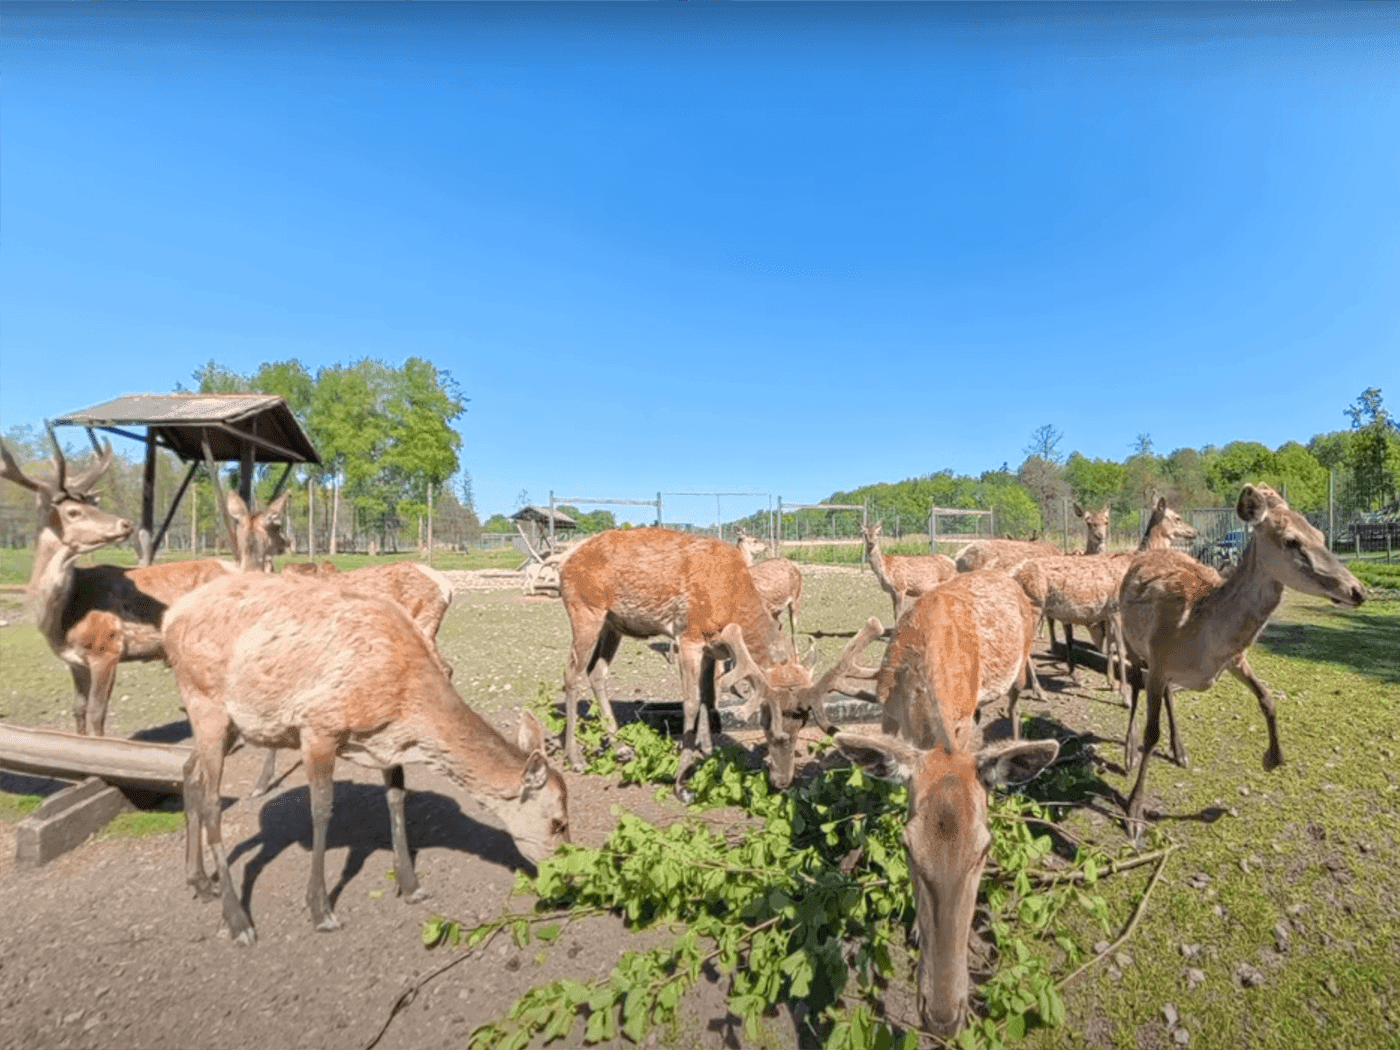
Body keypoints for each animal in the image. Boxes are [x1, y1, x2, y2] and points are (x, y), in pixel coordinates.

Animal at [0, 439, 287, 733]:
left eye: (90, 505)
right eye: (73, 511)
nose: (125, 523)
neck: (62, 620)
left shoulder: (107, 649)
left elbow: (96, 713)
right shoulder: (74, 661)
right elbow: (78, 709)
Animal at [166, 571, 571, 952]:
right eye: (558, 822)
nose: (566, 876)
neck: (405, 701)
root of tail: (170, 619)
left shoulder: (386, 741)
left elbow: (396, 797)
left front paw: (410, 885)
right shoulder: (318, 725)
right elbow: (321, 809)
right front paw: (320, 909)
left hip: (231, 724)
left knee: (189, 773)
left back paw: (200, 882)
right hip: (205, 702)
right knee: (213, 802)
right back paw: (238, 921)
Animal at [828, 568, 1058, 1036]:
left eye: (985, 849)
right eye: (907, 846)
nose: (942, 1016)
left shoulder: (964, 722)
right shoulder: (890, 722)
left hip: (1020, 664)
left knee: (1014, 703)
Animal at [1114, 487, 1366, 845]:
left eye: (1320, 534)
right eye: (1291, 541)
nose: (1358, 590)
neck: (1202, 633)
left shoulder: (1234, 660)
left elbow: (1267, 697)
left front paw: (1273, 758)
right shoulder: (1159, 657)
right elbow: (1151, 734)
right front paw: (1134, 815)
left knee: (1167, 695)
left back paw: (1180, 750)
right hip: (1131, 640)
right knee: (1135, 683)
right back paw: (1128, 752)